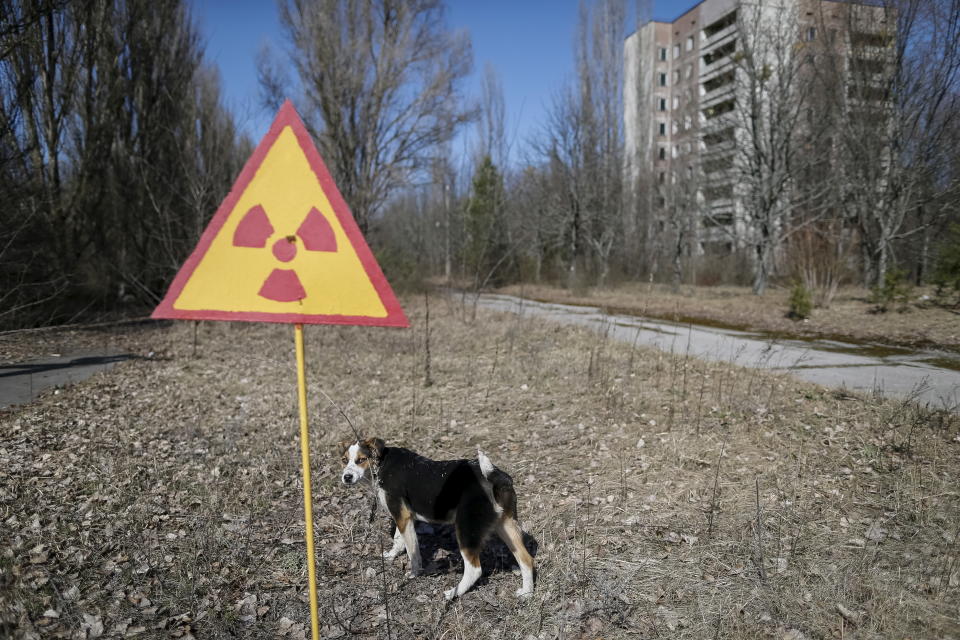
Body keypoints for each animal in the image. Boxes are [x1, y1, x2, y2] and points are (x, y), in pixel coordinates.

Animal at [338, 438, 532, 596]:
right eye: (344, 460)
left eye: (361, 460)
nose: (346, 477)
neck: (381, 464)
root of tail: (496, 478)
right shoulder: (403, 517)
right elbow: (399, 539)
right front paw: (392, 554)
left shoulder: (402, 515)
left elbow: (413, 552)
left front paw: (414, 574)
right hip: (506, 526)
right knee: (527, 560)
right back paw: (527, 593)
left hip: (466, 530)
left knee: (474, 569)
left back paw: (453, 593)